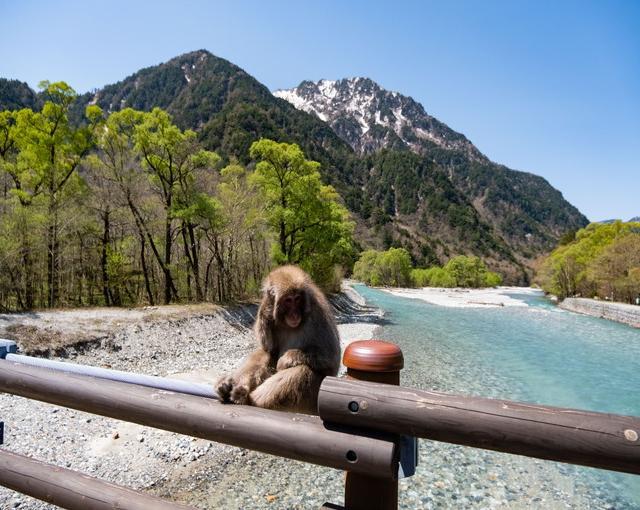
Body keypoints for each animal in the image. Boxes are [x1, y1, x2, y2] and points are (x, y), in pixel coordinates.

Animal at [216, 266, 340, 414]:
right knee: (265, 353)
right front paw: (266, 305)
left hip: (313, 397)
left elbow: (330, 358)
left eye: (297, 299)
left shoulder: (318, 314)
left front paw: (285, 360)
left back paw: (250, 399)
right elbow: (269, 347)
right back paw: (231, 388)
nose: (294, 314)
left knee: (303, 369)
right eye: (288, 300)